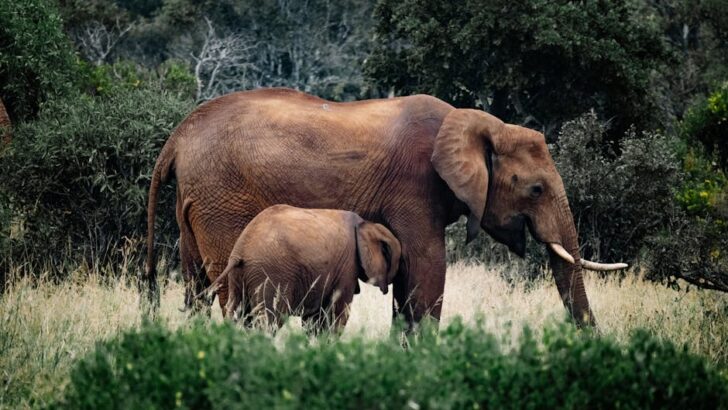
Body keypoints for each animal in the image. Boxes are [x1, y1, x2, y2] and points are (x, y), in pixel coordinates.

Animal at [200, 204, 401, 333]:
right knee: (269, 321)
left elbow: (314, 319)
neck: (365, 224)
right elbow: (335, 314)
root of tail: (239, 250)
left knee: (237, 314)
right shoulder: (347, 267)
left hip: (239, 277)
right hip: (271, 274)